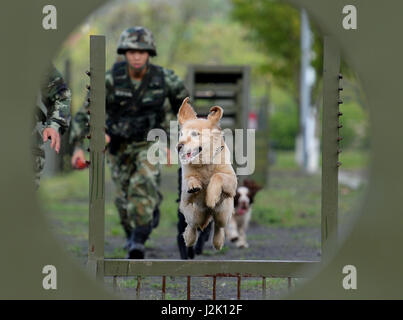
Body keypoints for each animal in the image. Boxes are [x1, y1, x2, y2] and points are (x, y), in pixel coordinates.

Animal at [176, 97, 237, 250]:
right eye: (181, 134)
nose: (178, 146)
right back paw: (189, 238)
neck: (204, 163)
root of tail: (208, 214)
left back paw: (218, 242)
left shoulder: (232, 180)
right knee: (192, 226)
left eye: (194, 134)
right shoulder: (185, 186)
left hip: (223, 213)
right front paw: (194, 185)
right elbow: (190, 179)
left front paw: (211, 197)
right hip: (193, 214)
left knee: (219, 227)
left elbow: (218, 175)